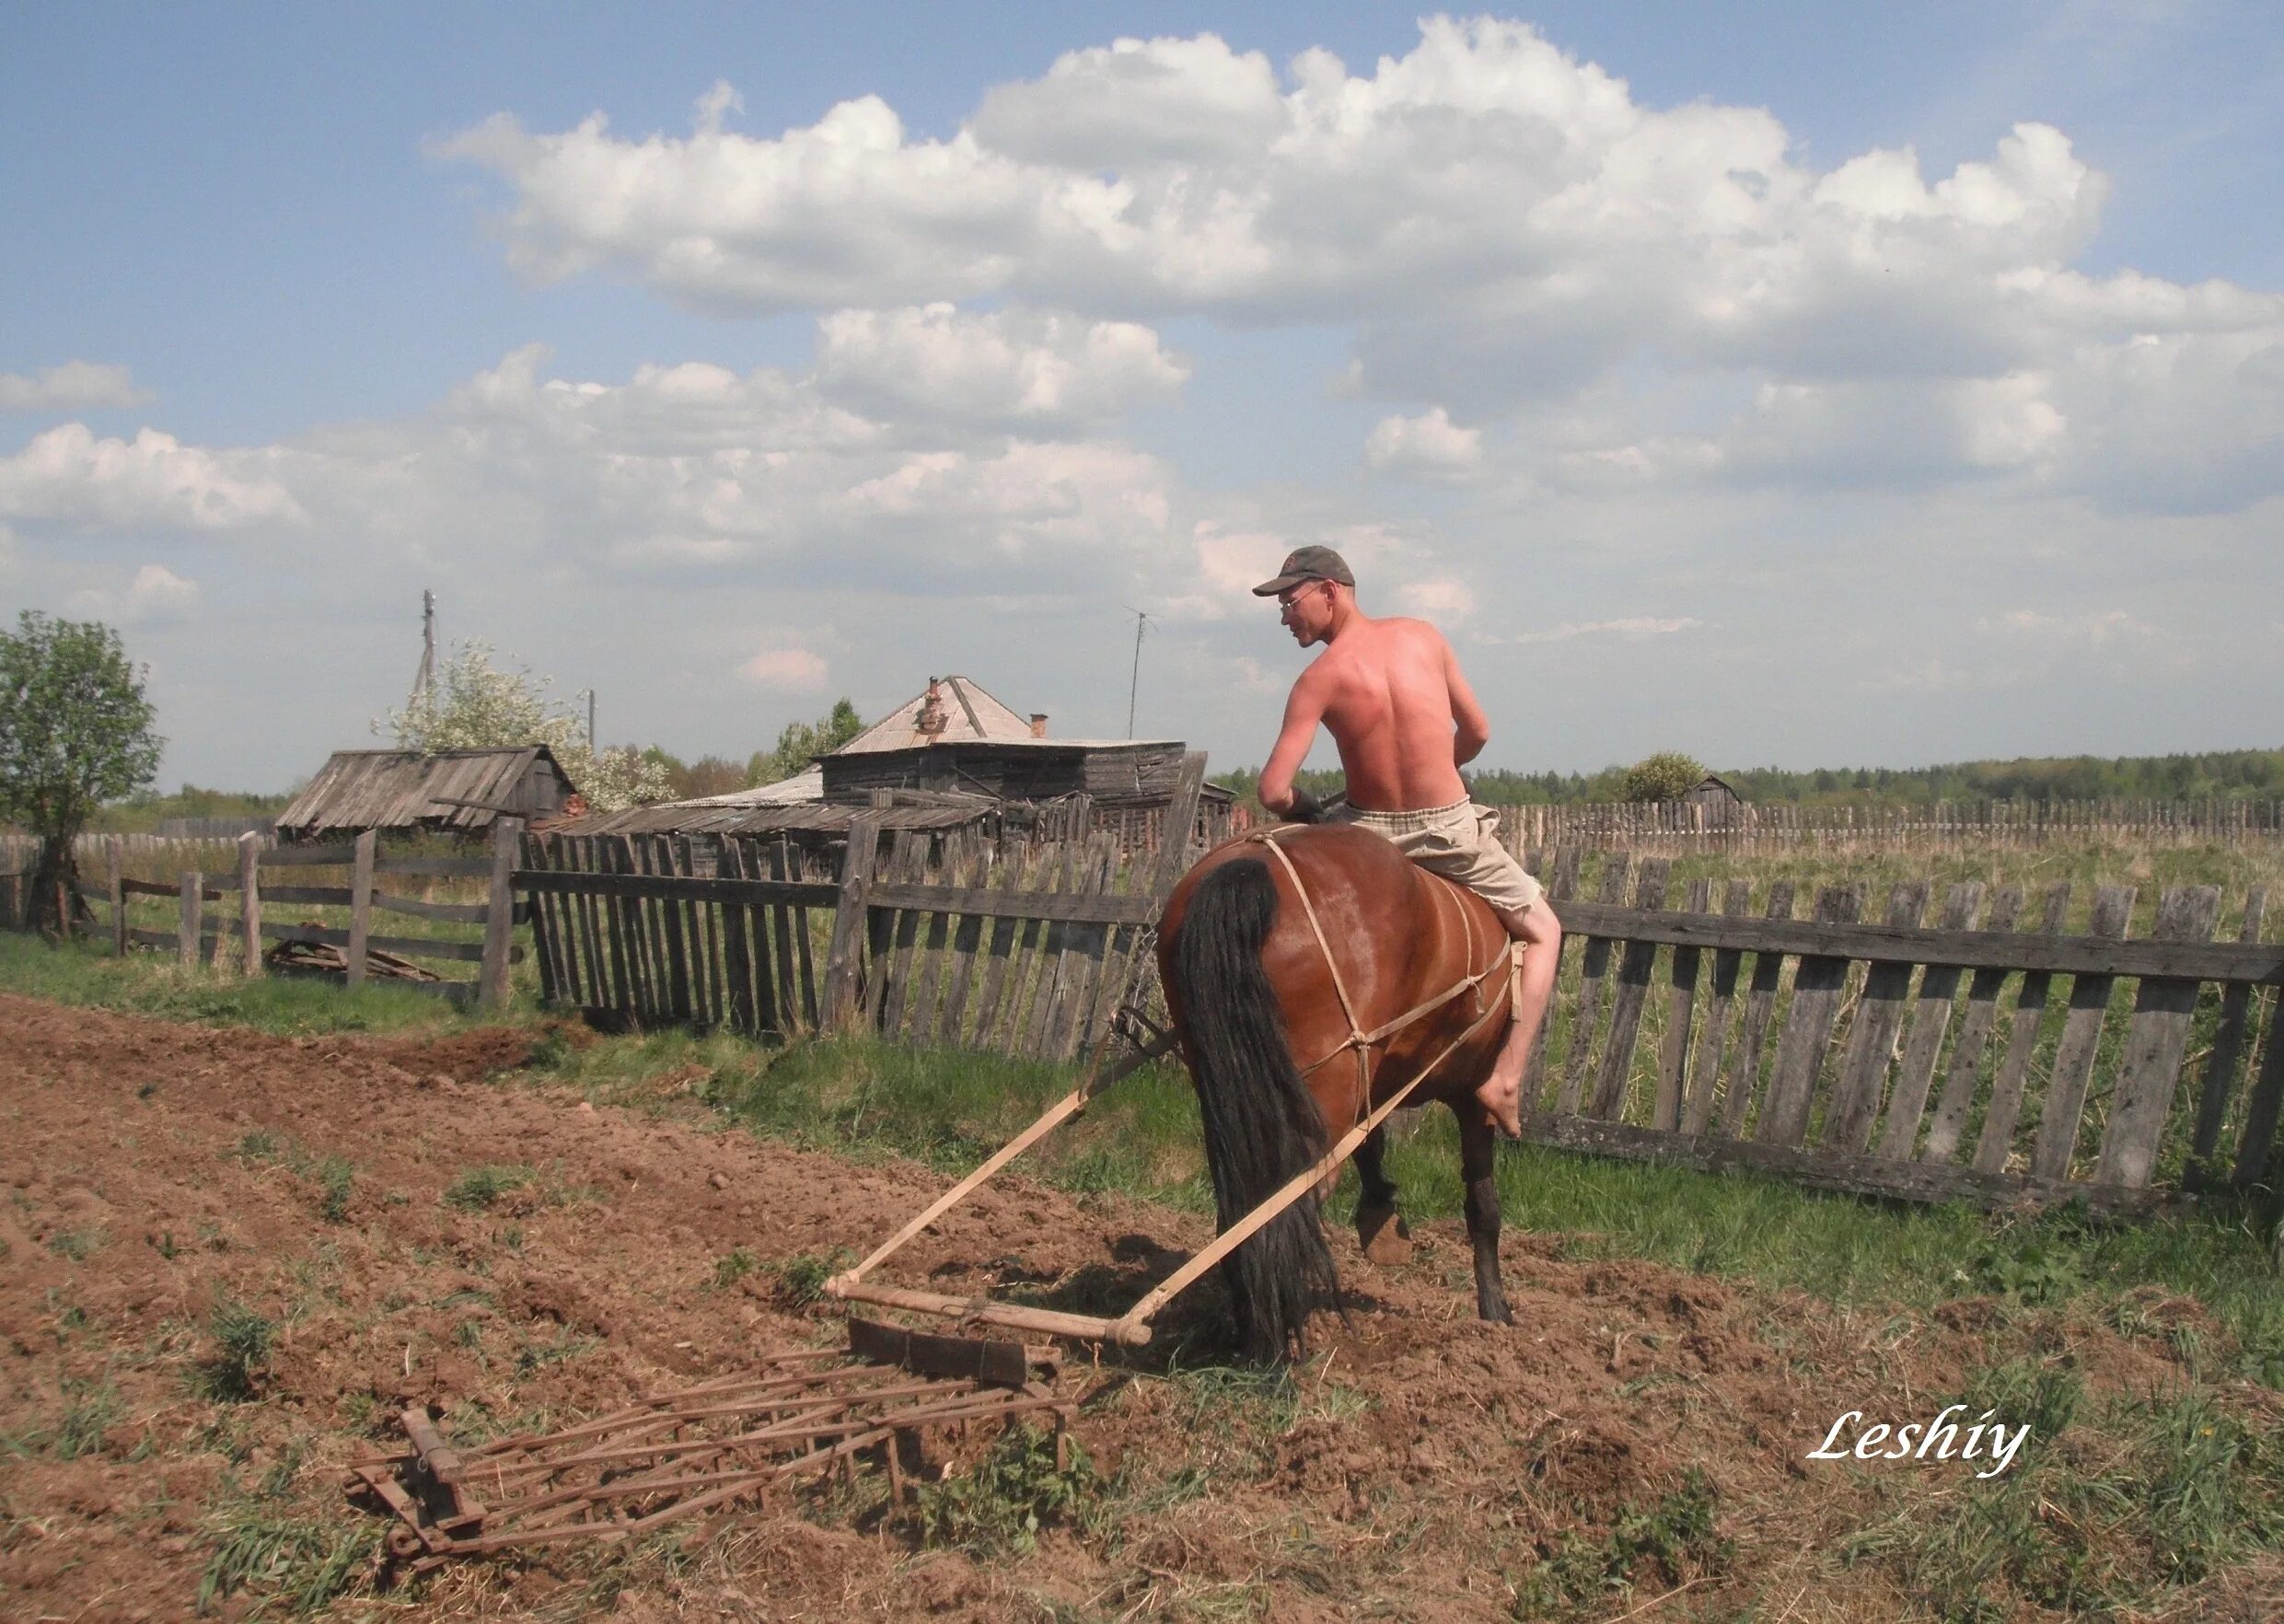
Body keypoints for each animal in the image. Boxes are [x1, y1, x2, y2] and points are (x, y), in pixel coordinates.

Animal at [1160, 818, 1516, 1361]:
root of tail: (1249, 866)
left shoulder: (1375, 1078)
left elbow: (1372, 1143)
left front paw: (1382, 1215)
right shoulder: (1474, 1095)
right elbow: (1483, 1203)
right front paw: (1495, 1309)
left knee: (1237, 1219)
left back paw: (1249, 1340)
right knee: (1282, 1212)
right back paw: (1272, 1350)